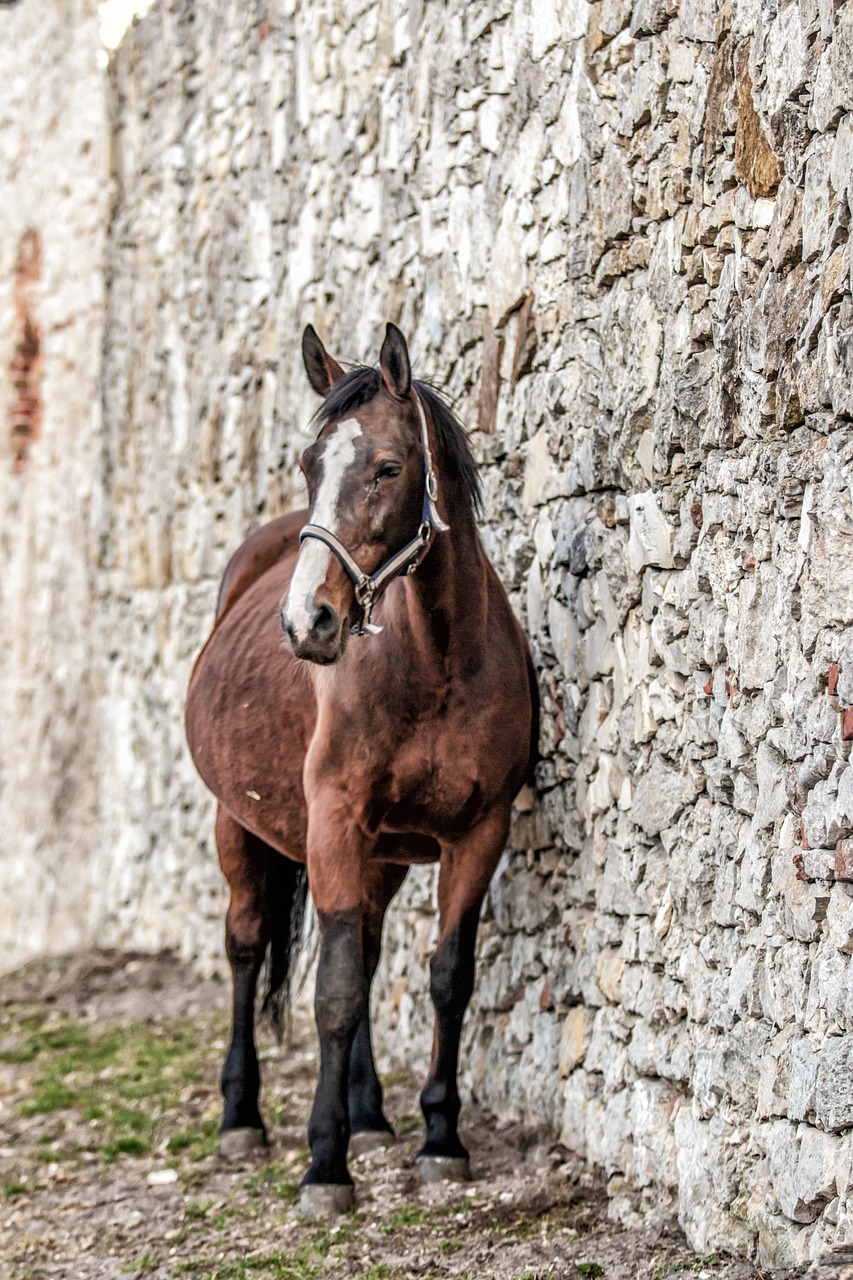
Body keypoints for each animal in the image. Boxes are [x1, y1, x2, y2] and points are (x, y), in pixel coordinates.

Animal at [183, 325, 535, 1213]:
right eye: (312, 465)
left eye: (386, 467)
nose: (306, 621)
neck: (436, 659)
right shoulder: (335, 826)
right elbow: (334, 994)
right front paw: (323, 1164)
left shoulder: (476, 834)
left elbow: (446, 977)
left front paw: (440, 1138)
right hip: (238, 826)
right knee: (247, 946)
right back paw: (241, 1118)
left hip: (382, 854)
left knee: (369, 949)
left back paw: (371, 1118)